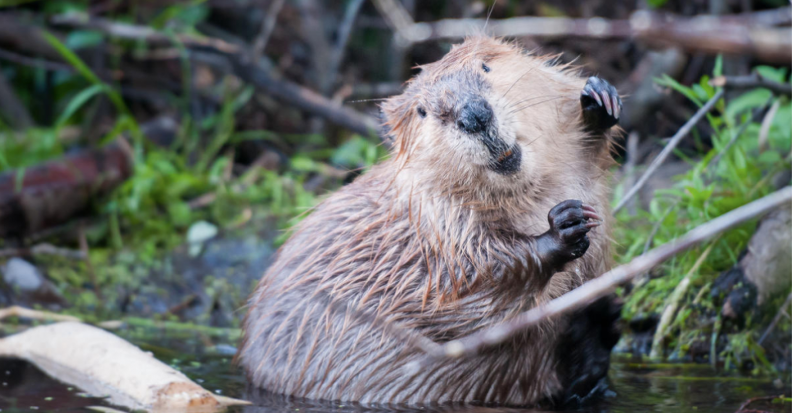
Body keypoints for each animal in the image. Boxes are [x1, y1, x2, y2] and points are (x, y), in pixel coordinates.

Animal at [238, 37, 620, 406]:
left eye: (485, 66)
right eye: (423, 111)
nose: (474, 115)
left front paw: (598, 100)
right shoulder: (436, 228)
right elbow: (472, 296)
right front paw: (564, 226)